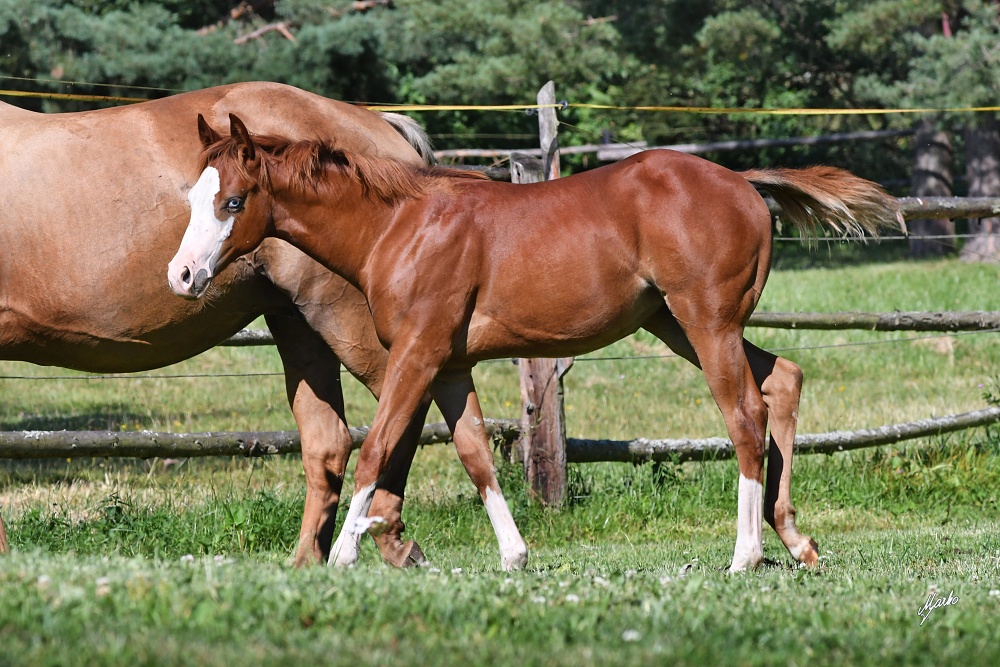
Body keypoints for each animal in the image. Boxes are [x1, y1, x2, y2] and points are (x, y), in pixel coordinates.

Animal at [1, 81, 436, 568]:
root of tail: (380, 123)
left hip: (350, 323)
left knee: (405, 411)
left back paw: (389, 539)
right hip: (299, 326)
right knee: (329, 441)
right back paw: (309, 561)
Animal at [168, 116, 904, 576]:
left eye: (234, 201)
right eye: (195, 198)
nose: (182, 276)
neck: (399, 225)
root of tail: (745, 182)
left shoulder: (417, 354)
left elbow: (376, 446)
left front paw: (347, 553)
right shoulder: (451, 365)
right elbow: (474, 454)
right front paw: (514, 555)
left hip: (707, 323)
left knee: (745, 416)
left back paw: (745, 555)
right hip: (675, 324)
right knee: (783, 380)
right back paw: (797, 541)